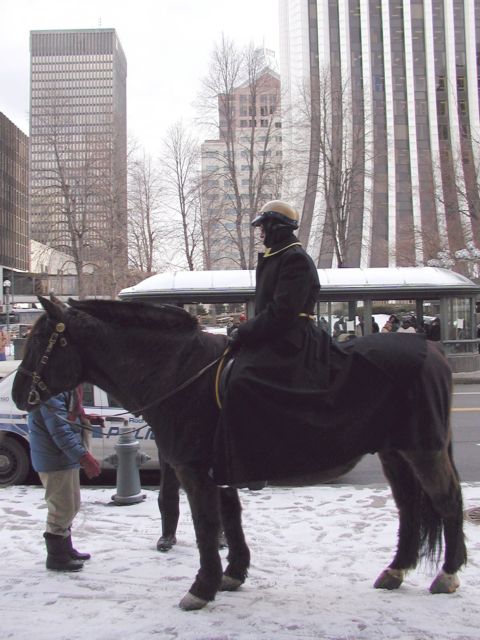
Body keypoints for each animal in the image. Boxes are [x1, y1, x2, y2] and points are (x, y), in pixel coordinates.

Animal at [13, 296, 466, 608]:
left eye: (41, 340)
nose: (18, 394)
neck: (179, 372)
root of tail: (433, 351)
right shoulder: (219, 468)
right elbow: (230, 517)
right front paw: (233, 573)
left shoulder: (194, 470)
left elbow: (205, 524)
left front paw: (202, 586)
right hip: (395, 454)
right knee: (409, 507)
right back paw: (396, 569)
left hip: (423, 450)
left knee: (447, 501)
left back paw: (448, 574)